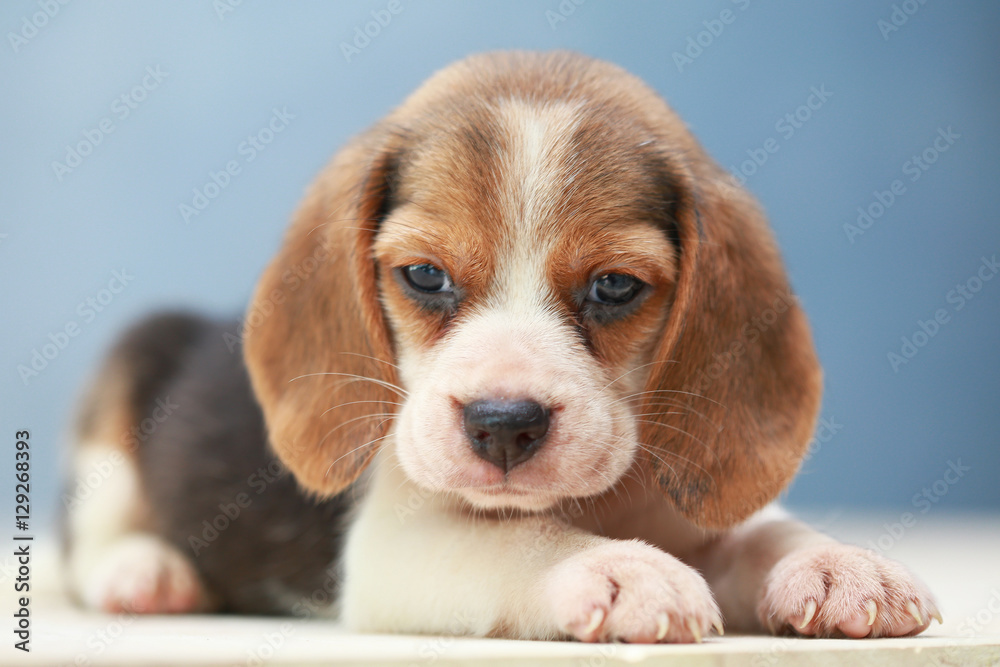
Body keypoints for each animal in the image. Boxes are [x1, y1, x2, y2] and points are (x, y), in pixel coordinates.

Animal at [66, 49, 940, 644]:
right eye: (424, 275)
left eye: (615, 286)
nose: (504, 424)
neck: (600, 502)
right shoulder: (396, 549)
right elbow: (516, 540)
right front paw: (617, 566)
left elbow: (762, 531)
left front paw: (837, 563)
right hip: (125, 383)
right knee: (87, 537)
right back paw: (145, 570)